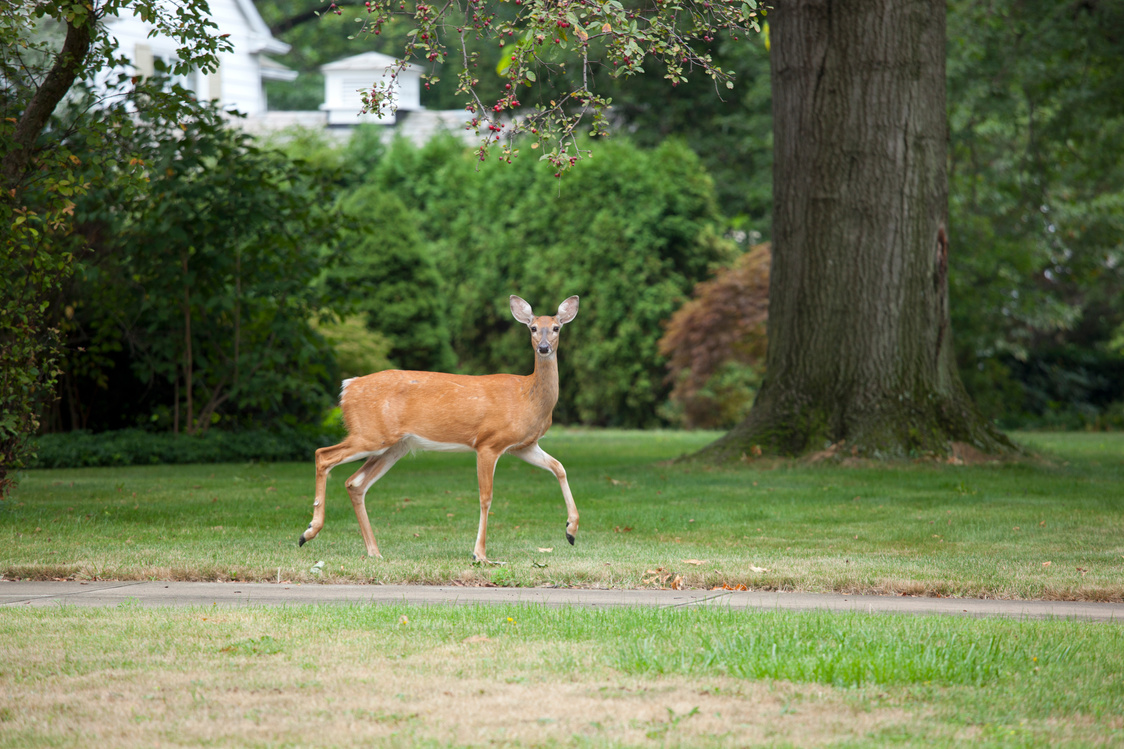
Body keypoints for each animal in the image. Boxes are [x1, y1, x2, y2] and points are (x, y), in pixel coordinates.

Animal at [301, 292, 579, 560]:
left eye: (556, 327)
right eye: (533, 328)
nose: (543, 348)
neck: (528, 398)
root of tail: (347, 387)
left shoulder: (523, 445)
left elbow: (560, 468)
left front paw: (571, 530)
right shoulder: (488, 442)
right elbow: (485, 498)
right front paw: (480, 554)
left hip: (394, 446)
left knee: (355, 483)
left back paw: (373, 551)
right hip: (371, 434)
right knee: (323, 455)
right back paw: (310, 531)